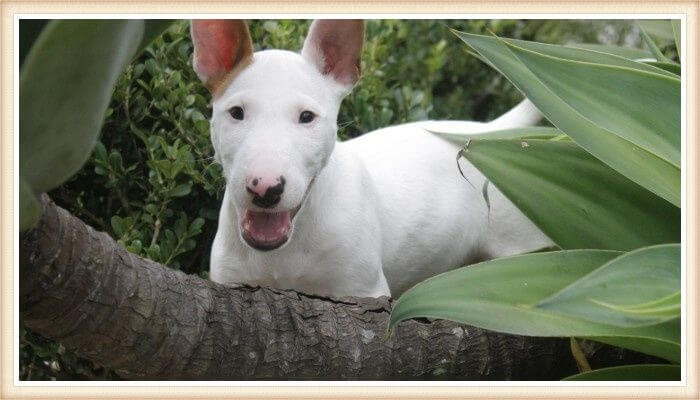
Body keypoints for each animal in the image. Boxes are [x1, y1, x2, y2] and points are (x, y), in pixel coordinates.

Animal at [191, 20, 552, 298]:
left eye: (307, 117)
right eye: (236, 113)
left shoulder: (362, 290)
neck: (286, 251)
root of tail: (489, 132)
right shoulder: (232, 282)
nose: (265, 188)